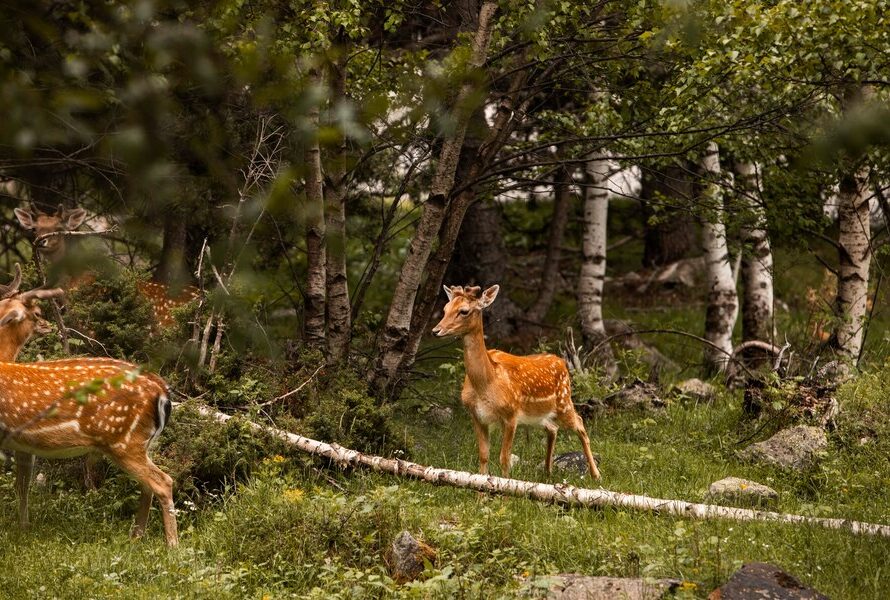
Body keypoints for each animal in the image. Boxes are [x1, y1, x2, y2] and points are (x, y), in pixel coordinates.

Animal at [0, 264, 179, 548]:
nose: (47, 325)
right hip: (143, 442)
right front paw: (23, 527)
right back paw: (136, 536)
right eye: (37, 313)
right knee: (149, 485)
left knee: (163, 482)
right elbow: (22, 484)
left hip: (123, 441)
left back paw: (172, 545)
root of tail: (161, 390)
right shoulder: (23, 444)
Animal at [428, 284, 600, 480]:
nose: (435, 330)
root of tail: (562, 361)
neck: (486, 383)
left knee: (579, 423)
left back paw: (595, 474)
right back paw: (547, 472)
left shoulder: (511, 414)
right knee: (552, 428)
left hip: (564, 402)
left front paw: (505, 486)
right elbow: (483, 456)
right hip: (538, 414)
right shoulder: (476, 416)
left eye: (464, 311)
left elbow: (504, 458)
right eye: (445, 309)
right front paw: (480, 487)